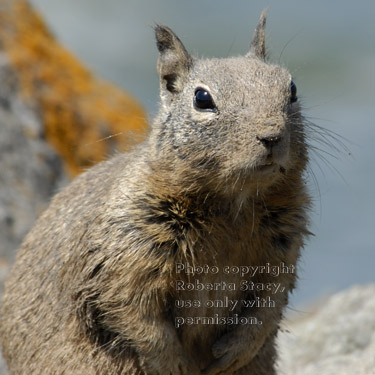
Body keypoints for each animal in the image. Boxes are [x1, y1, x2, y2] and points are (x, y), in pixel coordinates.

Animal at [0, 10, 312, 375]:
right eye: (202, 99)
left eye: (292, 88)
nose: (272, 136)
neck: (231, 205)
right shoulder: (128, 251)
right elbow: (134, 312)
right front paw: (175, 363)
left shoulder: (283, 248)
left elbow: (269, 302)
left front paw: (234, 351)